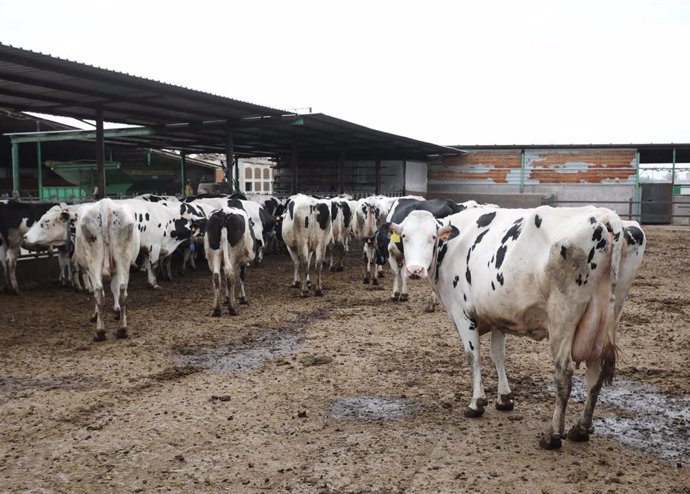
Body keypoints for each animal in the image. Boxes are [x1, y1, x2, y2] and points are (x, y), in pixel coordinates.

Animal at [73, 199, 140, 342]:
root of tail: (106, 205)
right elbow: (114, 288)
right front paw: (116, 310)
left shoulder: (89, 269)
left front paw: (96, 315)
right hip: (123, 258)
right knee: (122, 289)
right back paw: (122, 329)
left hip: (93, 260)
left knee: (98, 290)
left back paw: (100, 331)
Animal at [390, 206, 648, 450]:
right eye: (404, 236)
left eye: (433, 237)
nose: (414, 270)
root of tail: (605, 215)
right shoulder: (497, 314)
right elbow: (498, 354)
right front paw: (504, 399)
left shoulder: (462, 312)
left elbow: (473, 356)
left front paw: (476, 403)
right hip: (604, 317)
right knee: (595, 374)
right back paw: (581, 429)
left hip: (562, 317)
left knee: (564, 374)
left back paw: (553, 435)